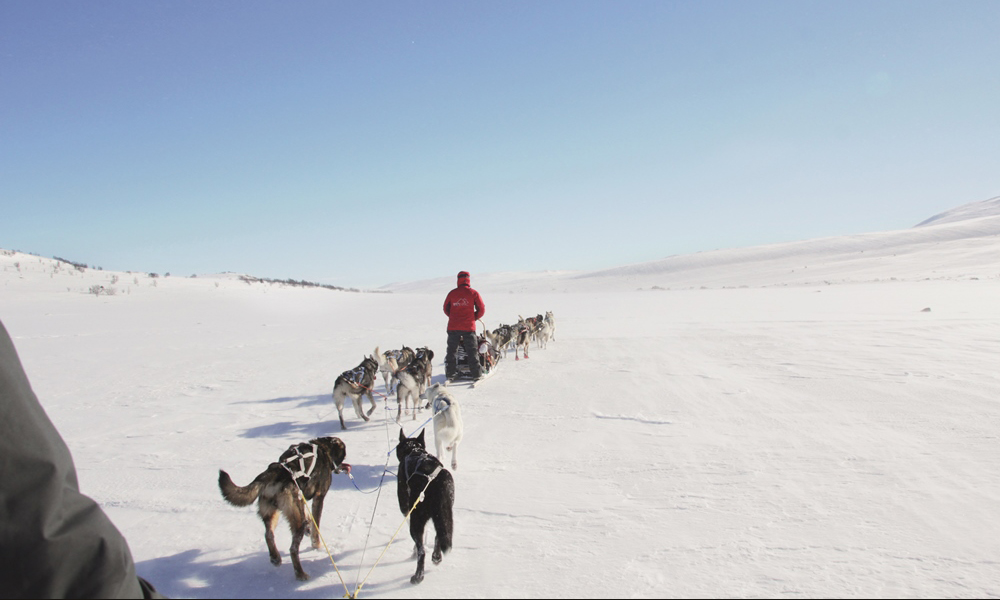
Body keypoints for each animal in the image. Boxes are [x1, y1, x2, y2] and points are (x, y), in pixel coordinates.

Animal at [217, 438, 350, 580]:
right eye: (343, 455)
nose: (346, 465)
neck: (323, 448)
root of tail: (274, 472)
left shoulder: (302, 497)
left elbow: (308, 517)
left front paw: (309, 527)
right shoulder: (318, 498)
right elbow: (316, 528)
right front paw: (316, 545)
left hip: (272, 512)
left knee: (268, 535)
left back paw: (275, 557)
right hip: (296, 520)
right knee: (293, 549)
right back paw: (300, 573)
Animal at [396, 428, 456, 584]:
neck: (413, 450)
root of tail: (435, 482)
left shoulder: (405, 506)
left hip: (417, 520)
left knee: (421, 551)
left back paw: (418, 576)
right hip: (443, 513)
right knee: (438, 535)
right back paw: (436, 557)